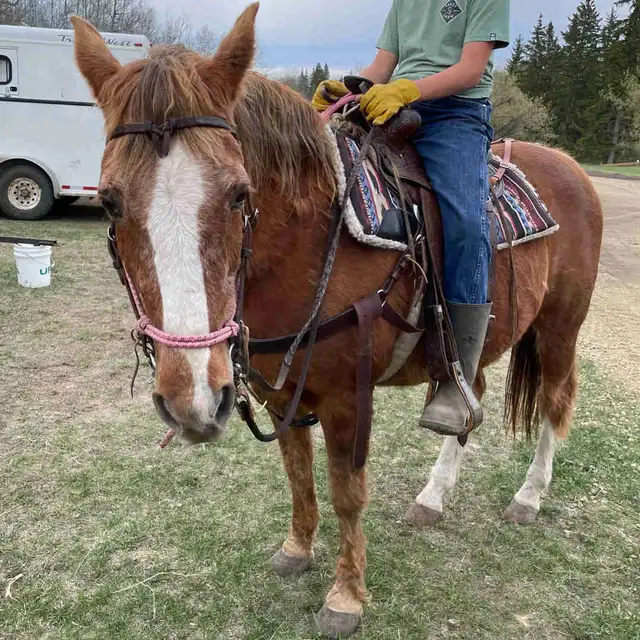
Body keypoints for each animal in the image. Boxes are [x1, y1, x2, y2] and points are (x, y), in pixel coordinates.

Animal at [71, 4, 603, 637]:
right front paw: (298, 549)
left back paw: (528, 496)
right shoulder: (279, 391)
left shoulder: (349, 397)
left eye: (238, 194)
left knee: (554, 402)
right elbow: (298, 472)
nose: (191, 401)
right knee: (467, 393)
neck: (309, 240)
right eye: (109, 202)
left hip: (559, 328)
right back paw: (433, 496)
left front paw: (346, 595)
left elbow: (347, 490)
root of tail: (570, 168)